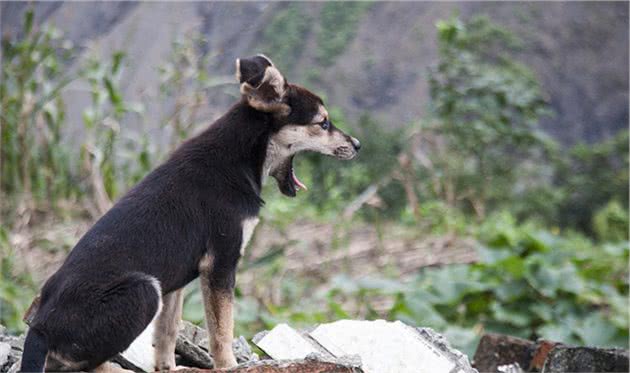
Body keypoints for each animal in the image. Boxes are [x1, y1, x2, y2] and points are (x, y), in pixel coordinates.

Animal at [18, 56, 360, 372]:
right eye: (323, 123)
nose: (358, 144)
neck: (239, 156)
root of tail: (40, 329)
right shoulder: (220, 264)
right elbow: (221, 331)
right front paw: (228, 366)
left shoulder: (177, 278)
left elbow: (168, 331)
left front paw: (167, 367)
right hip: (144, 290)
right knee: (86, 364)